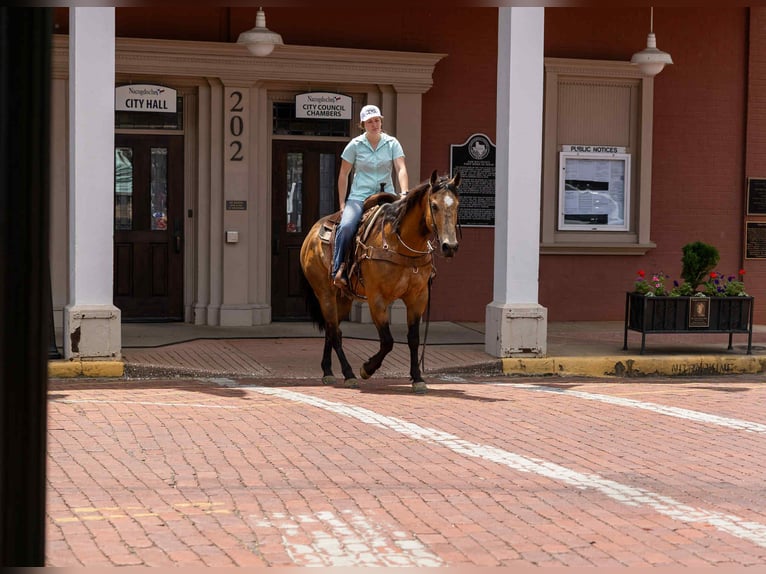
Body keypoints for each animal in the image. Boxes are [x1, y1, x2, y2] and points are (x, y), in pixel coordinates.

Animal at [299, 170, 461, 394]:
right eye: (434, 205)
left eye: (457, 205)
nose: (450, 246)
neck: (401, 244)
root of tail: (312, 233)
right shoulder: (377, 299)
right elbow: (387, 341)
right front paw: (367, 369)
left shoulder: (418, 297)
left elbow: (413, 339)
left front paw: (418, 378)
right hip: (324, 293)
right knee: (335, 332)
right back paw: (349, 374)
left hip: (343, 298)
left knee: (331, 330)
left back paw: (328, 371)